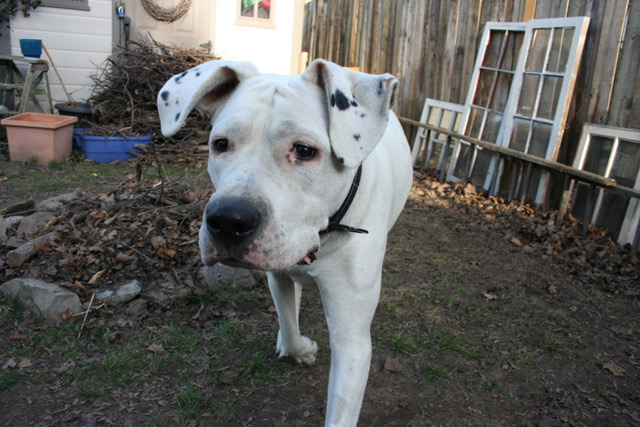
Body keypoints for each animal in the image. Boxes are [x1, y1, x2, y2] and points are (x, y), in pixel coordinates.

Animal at [158, 58, 412, 426]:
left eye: (304, 151)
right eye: (220, 144)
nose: (227, 221)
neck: (322, 236)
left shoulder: (352, 337)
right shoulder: (276, 275)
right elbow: (289, 326)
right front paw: (301, 348)